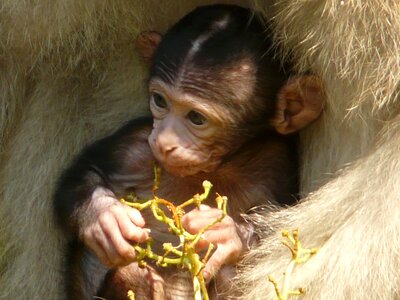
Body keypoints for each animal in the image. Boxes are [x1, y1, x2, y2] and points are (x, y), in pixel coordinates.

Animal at [54, 4, 322, 300]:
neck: (218, 166)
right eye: (160, 101)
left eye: (196, 117)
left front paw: (227, 233)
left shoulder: (276, 164)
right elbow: (83, 174)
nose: (164, 141)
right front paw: (105, 218)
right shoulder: (136, 146)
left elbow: (282, 227)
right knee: (132, 275)